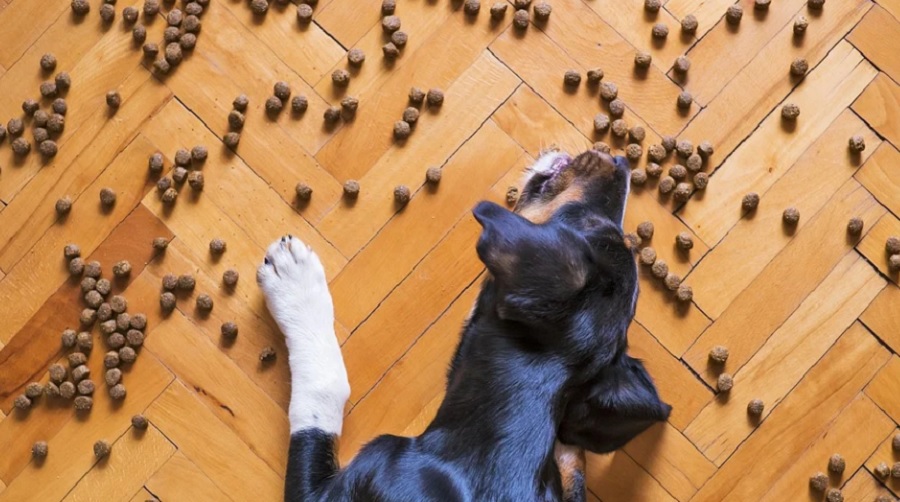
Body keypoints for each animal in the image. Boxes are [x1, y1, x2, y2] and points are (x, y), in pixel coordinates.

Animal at [256, 147, 672, 500]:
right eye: (607, 231)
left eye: (587, 226)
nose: (620, 161)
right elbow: (572, 467)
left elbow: (323, 393)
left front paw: (294, 282)